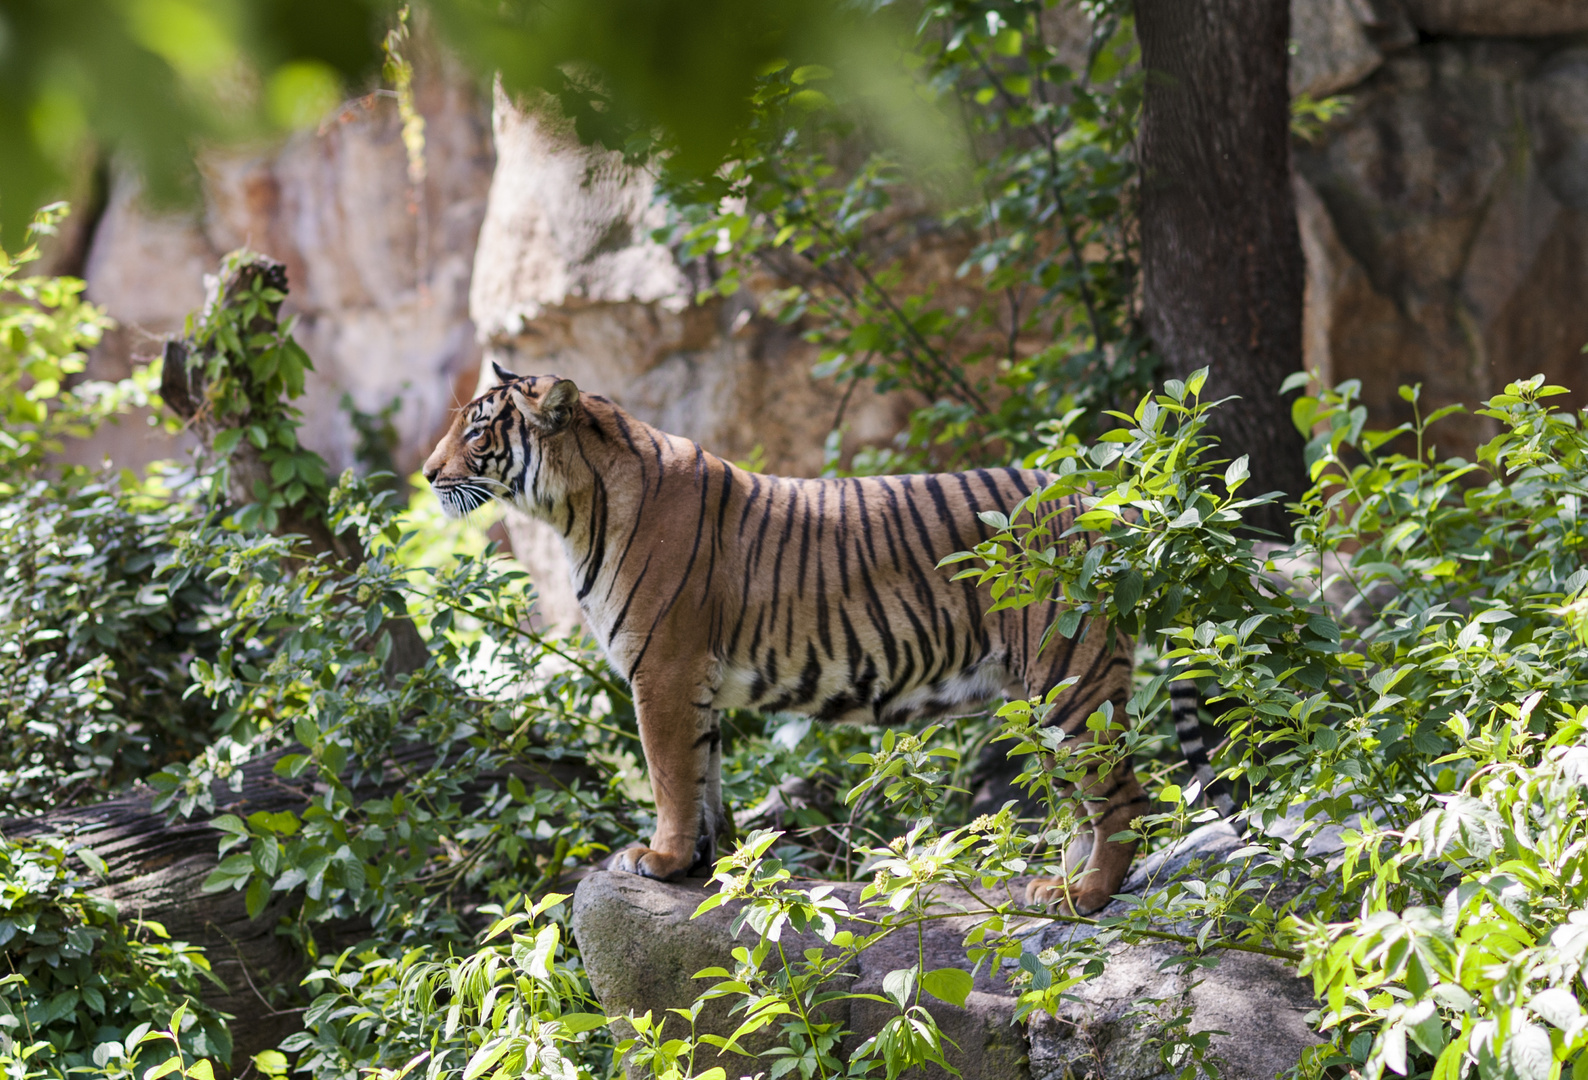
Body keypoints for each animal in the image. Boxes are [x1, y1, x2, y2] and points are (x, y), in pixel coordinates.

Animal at [422, 368, 1156, 908]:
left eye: (477, 429)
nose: (426, 474)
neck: (573, 508)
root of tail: (1090, 494)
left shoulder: (662, 669)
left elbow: (668, 776)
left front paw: (658, 858)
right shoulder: (692, 683)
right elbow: (703, 779)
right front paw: (703, 864)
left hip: (1069, 679)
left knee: (1121, 798)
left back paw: (1087, 895)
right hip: (1042, 697)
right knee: (1081, 803)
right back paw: (1058, 886)